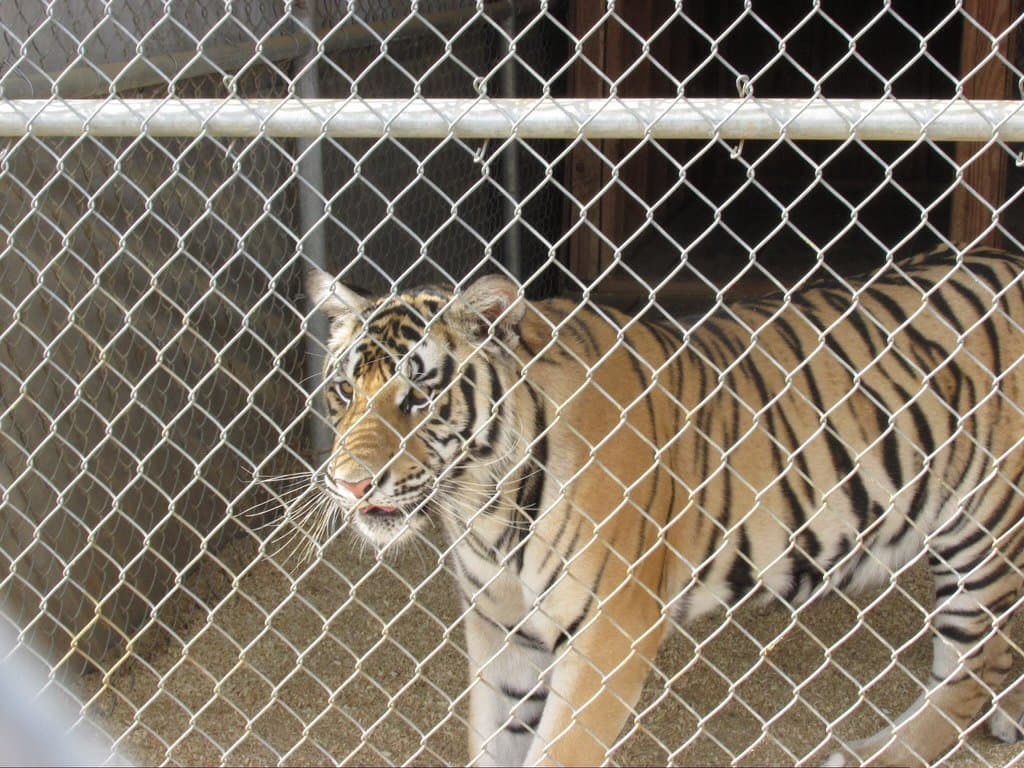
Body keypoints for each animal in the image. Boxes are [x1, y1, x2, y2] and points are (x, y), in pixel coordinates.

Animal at [303, 244, 1024, 767]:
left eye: (419, 396)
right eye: (343, 391)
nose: (350, 484)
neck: (484, 503)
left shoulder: (610, 631)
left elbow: (560, 749)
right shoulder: (502, 629)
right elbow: (496, 736)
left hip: (981, 527)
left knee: (969, 673)